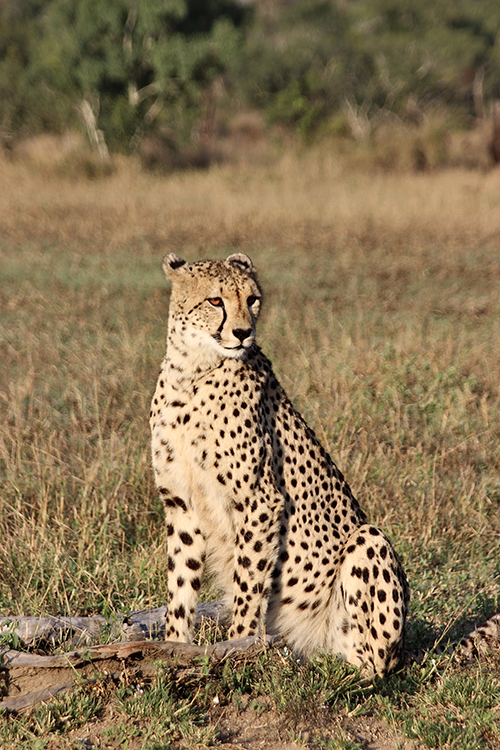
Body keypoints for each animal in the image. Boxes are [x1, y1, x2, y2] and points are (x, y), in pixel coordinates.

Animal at [150, 252, 410, 677]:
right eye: (215, 300)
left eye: (252, 299)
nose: (243, 333)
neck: (193, 371)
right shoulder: (181, 504)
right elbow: (180, 586)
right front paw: (174, 647)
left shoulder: (260, 500)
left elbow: (248, 584)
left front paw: (237, 646)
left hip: (367, 541)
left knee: (374, 663)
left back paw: (340, 676)